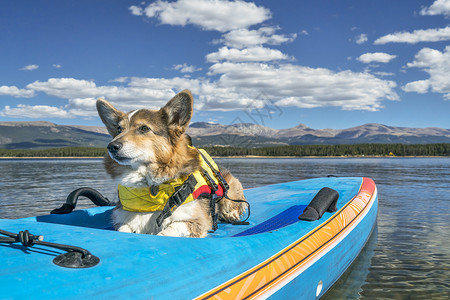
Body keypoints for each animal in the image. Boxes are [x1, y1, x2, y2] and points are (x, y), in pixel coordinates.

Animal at [96, 89, 248, 237]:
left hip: (231, 190)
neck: (150, 186)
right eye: (119, 129)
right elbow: (123, 230)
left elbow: (168, 231)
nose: (112, 146)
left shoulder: (194, 220)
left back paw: (231, 215)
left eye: (144, 128)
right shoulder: (124, 220)